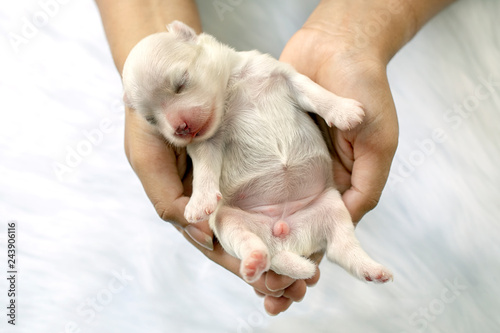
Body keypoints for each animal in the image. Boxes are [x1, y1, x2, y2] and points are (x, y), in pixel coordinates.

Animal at [123, 20, 392, 282]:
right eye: (151, 119)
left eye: (181, 82)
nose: (180, 128)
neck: (231, 87)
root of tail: (284, 236)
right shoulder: (205, 144)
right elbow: (204, 170)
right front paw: (199, 202)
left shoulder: (284, 74)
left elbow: (314, 91)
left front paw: (344, 111)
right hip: (228, 221)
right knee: (250, 242)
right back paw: (255, 261)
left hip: (332, 205)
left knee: (341, 247)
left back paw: (372, 270)